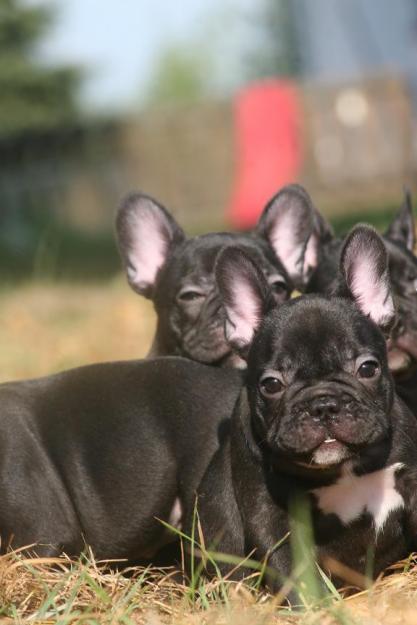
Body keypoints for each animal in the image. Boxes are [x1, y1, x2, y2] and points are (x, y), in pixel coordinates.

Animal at [193, 225, 417, 596]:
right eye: (271, 384)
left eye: (368, 368)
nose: (323, 405)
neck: (342, 470)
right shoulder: (270, 516)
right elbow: (294, 573)